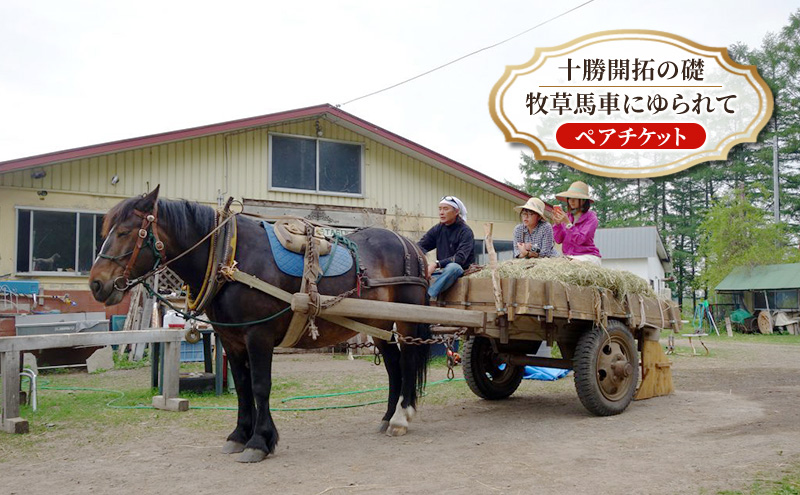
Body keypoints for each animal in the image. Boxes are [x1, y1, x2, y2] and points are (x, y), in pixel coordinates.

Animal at [89, 186, 432, 463]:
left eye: (125, 232)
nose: (96, 284)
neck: (228, 255)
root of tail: (410, 246)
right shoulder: (231, 339)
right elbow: (242, 386)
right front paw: (239, 435)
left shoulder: (258, 335)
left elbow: (260, 386)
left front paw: (259, 441)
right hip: (378, 321)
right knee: (393, 367)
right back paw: (388, 416)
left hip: (407, 319)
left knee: (408, 362)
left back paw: (402, 417)